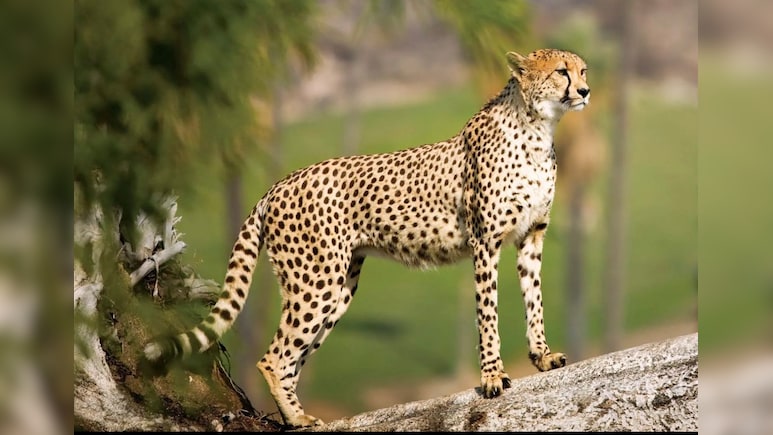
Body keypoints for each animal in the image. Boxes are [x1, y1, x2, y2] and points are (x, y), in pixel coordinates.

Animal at [143, 48, 590, 428]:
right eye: (561, 72)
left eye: (582, 69)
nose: (585, 91)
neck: (537, 128)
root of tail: (278, 184)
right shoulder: (485, 242)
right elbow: (488, 314)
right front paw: (493, 376)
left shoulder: (531, 238)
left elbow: (534, 300)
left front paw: (542, 357)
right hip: (315, 282)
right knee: (273, 358)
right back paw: (296, 417)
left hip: (338, 288)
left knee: (292, 358)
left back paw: (296, 416)